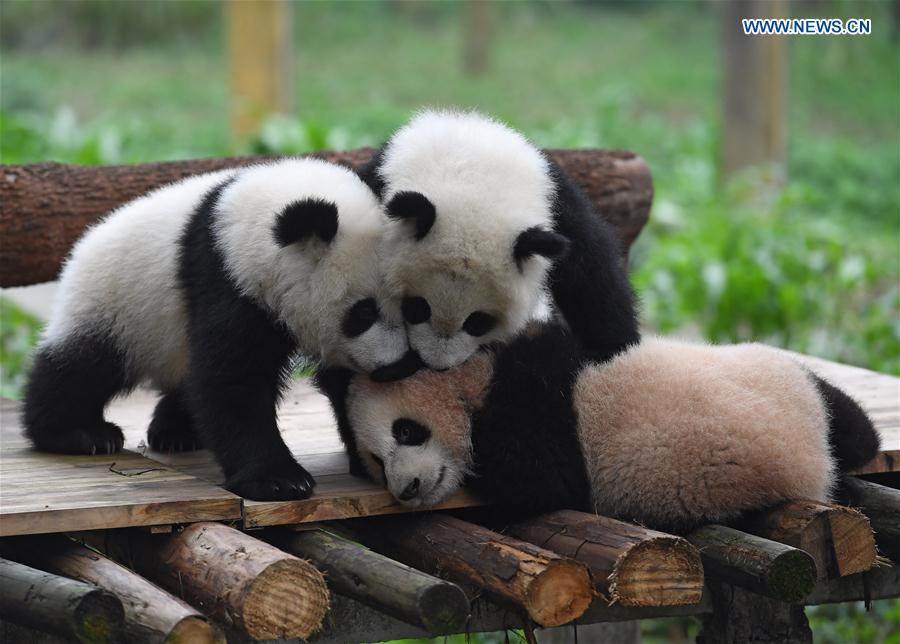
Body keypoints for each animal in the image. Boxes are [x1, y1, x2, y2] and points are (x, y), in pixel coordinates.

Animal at [23, 158, 418, 501]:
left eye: (410, 306)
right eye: (363, 312)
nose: (398, 365)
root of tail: (81, 246)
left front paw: (364, 457)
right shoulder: (226, 280)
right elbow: (231, 379)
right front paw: (279, 481)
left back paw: (175, 432)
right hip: (112, 305)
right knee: (82, 366)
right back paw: (80, 434)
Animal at [319, 322, 881, 532]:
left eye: (406, 431)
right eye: (376, 462)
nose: (406, 488)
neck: (475, 377)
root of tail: (813, 458)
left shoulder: (536, 392)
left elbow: (542, 478)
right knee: (855, 427)